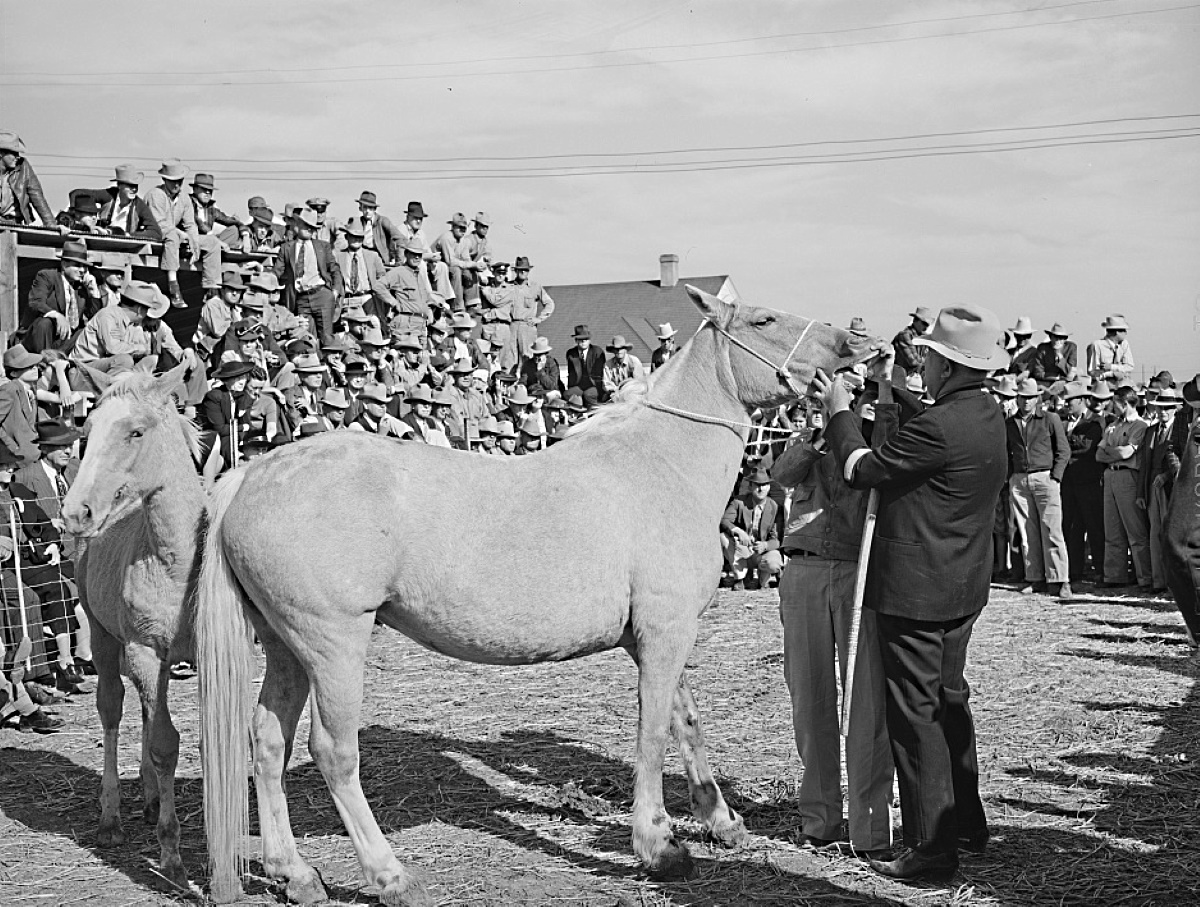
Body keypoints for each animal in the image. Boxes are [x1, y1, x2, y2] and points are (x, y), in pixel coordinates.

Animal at [60, 363, 204, 891]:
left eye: (136, 431)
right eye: (86, 431)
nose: (75, 511)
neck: (178, 564)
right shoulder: (142, 649)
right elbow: (165, 744)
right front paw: (173, 858)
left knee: (144, 714)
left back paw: (149, 797)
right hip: (104, 639)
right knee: (114, 710)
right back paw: (113, 818)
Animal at [195, 285, 880, 906]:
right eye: (763, 320)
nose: (857, 345)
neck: (658, 465)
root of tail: (251, 474)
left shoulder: (662, 634)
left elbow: (685, 722)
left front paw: (721, 822)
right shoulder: (663, 635)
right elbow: (653, 732)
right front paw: (660, 846)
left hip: (286, 648)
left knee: (267, 743)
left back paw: (296, 875)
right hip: (332, 645)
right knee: (333, 753)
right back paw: (390, 877)